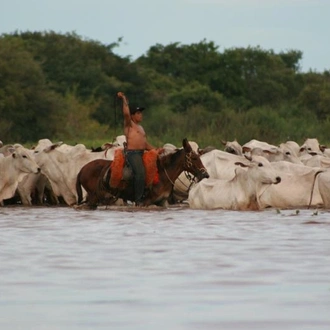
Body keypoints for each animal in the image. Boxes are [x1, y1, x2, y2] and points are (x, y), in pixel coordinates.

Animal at [75, 139, 208, 209]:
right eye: (194, 158)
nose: (205, 174)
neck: (163, 174)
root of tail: (82, 170)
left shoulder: (162, 202)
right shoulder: (145, 202)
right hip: (93, 197)